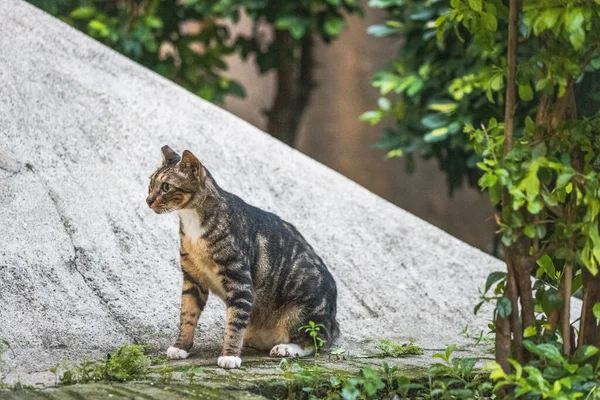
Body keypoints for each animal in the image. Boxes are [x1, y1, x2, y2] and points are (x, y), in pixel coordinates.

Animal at [146, 145, 340, 368]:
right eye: (150, 184)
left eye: (166, 187)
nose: (148, 200)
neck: (193, 223)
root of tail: (333, 322)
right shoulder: (192, 279)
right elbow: (187, 315)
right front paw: (181, 347)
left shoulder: (239, 281)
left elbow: (235, 323)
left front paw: (230, 355)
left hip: (301, 309)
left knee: (315, 340)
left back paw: (286, 348)